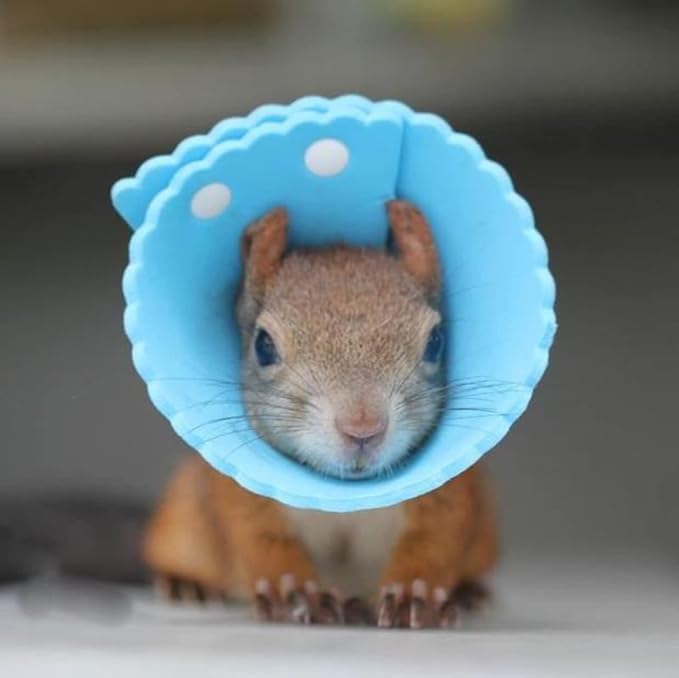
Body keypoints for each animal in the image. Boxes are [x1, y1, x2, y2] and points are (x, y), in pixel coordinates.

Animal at [143, 200, 498, 629]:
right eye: (263, 346)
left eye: (435, 342)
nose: (362, 429)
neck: (343, 497)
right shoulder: (240, 491)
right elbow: (259, 536)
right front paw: (293, 589)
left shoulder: (449, 490)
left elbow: (436, 538)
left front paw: (416, 592)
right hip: (183, 520)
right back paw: (184, 583)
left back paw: (469, 592)